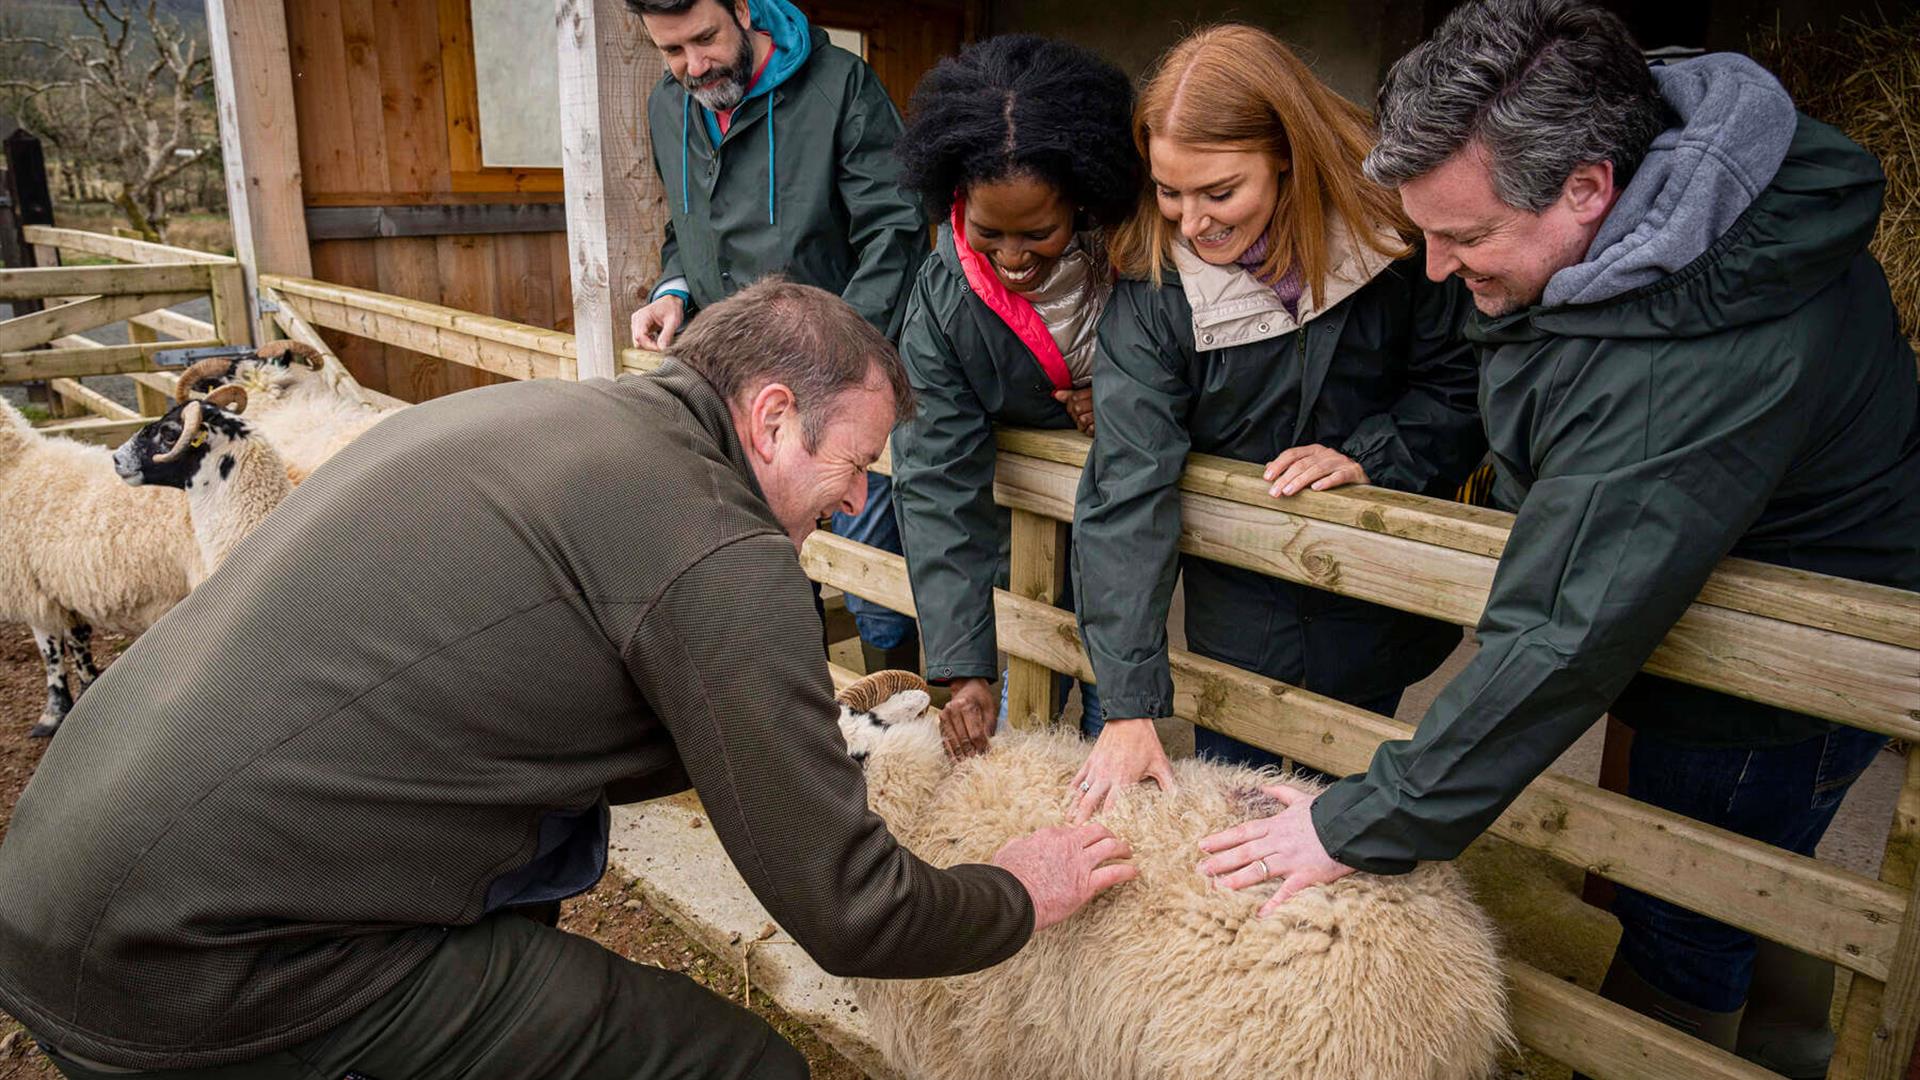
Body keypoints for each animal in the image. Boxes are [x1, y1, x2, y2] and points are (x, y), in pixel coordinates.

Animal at [0, 399, 202, 734]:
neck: (14, 465)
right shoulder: (64, 589)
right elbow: (78, 641)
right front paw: (86, 690)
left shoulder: (32, 589)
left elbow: (50, 652)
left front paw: (52, 715)